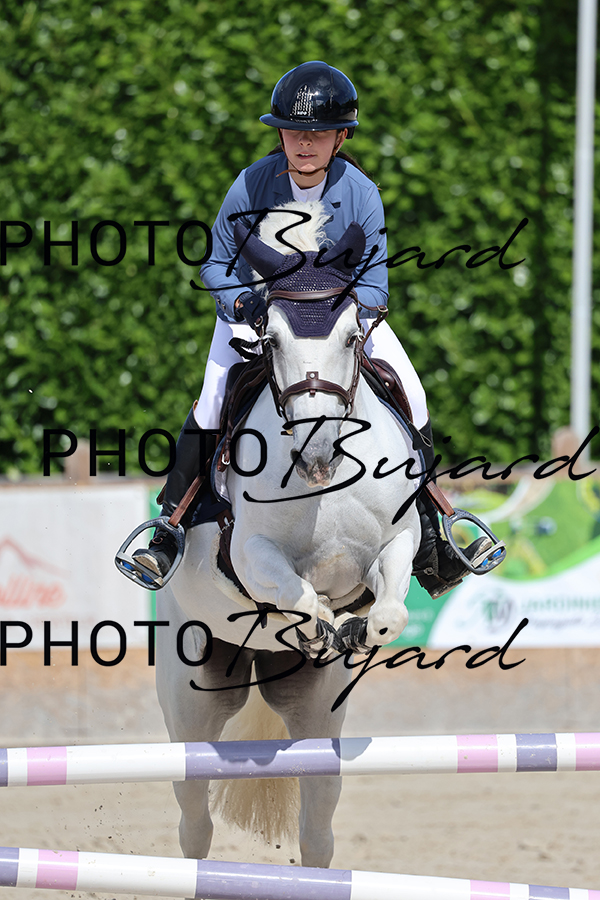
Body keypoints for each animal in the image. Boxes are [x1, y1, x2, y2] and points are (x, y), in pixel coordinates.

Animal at [154, 201, 422, 868]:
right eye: (270, 339)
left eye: (351, 337)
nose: (316, 450)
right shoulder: (249, 555)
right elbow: (294, 593)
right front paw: (316, 625)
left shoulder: (396, 545)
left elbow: (390, 608)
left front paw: (356, 630)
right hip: (192, 702)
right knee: (193, 820)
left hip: (316, 719)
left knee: (317, 825)